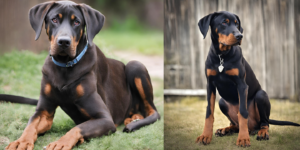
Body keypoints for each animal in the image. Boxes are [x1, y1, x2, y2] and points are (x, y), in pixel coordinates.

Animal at [1, 1, 161, 150]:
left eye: (77, 22)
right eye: (54, 19)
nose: (63, 42)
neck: (64, 66)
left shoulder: (104, 118)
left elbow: (77, 128)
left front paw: (61, 143)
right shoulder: (43, 111)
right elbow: (30, 125)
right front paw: (21, 142)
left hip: (135, 65)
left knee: (153, 111)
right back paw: (134, 118)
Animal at [196, 11, 298, 147]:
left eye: (237, 24)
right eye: (224, 22)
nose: (240, 36)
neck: (222, 56)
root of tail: (253, 127)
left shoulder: (241, 84)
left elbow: (243, 112)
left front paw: (243, 139)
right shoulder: (210, 84)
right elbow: (209, 112)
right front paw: (205, 136)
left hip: (261, 95)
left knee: (264, 123)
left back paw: (261, 133)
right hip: (222, 102)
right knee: (235, 124)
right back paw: (225, 130)